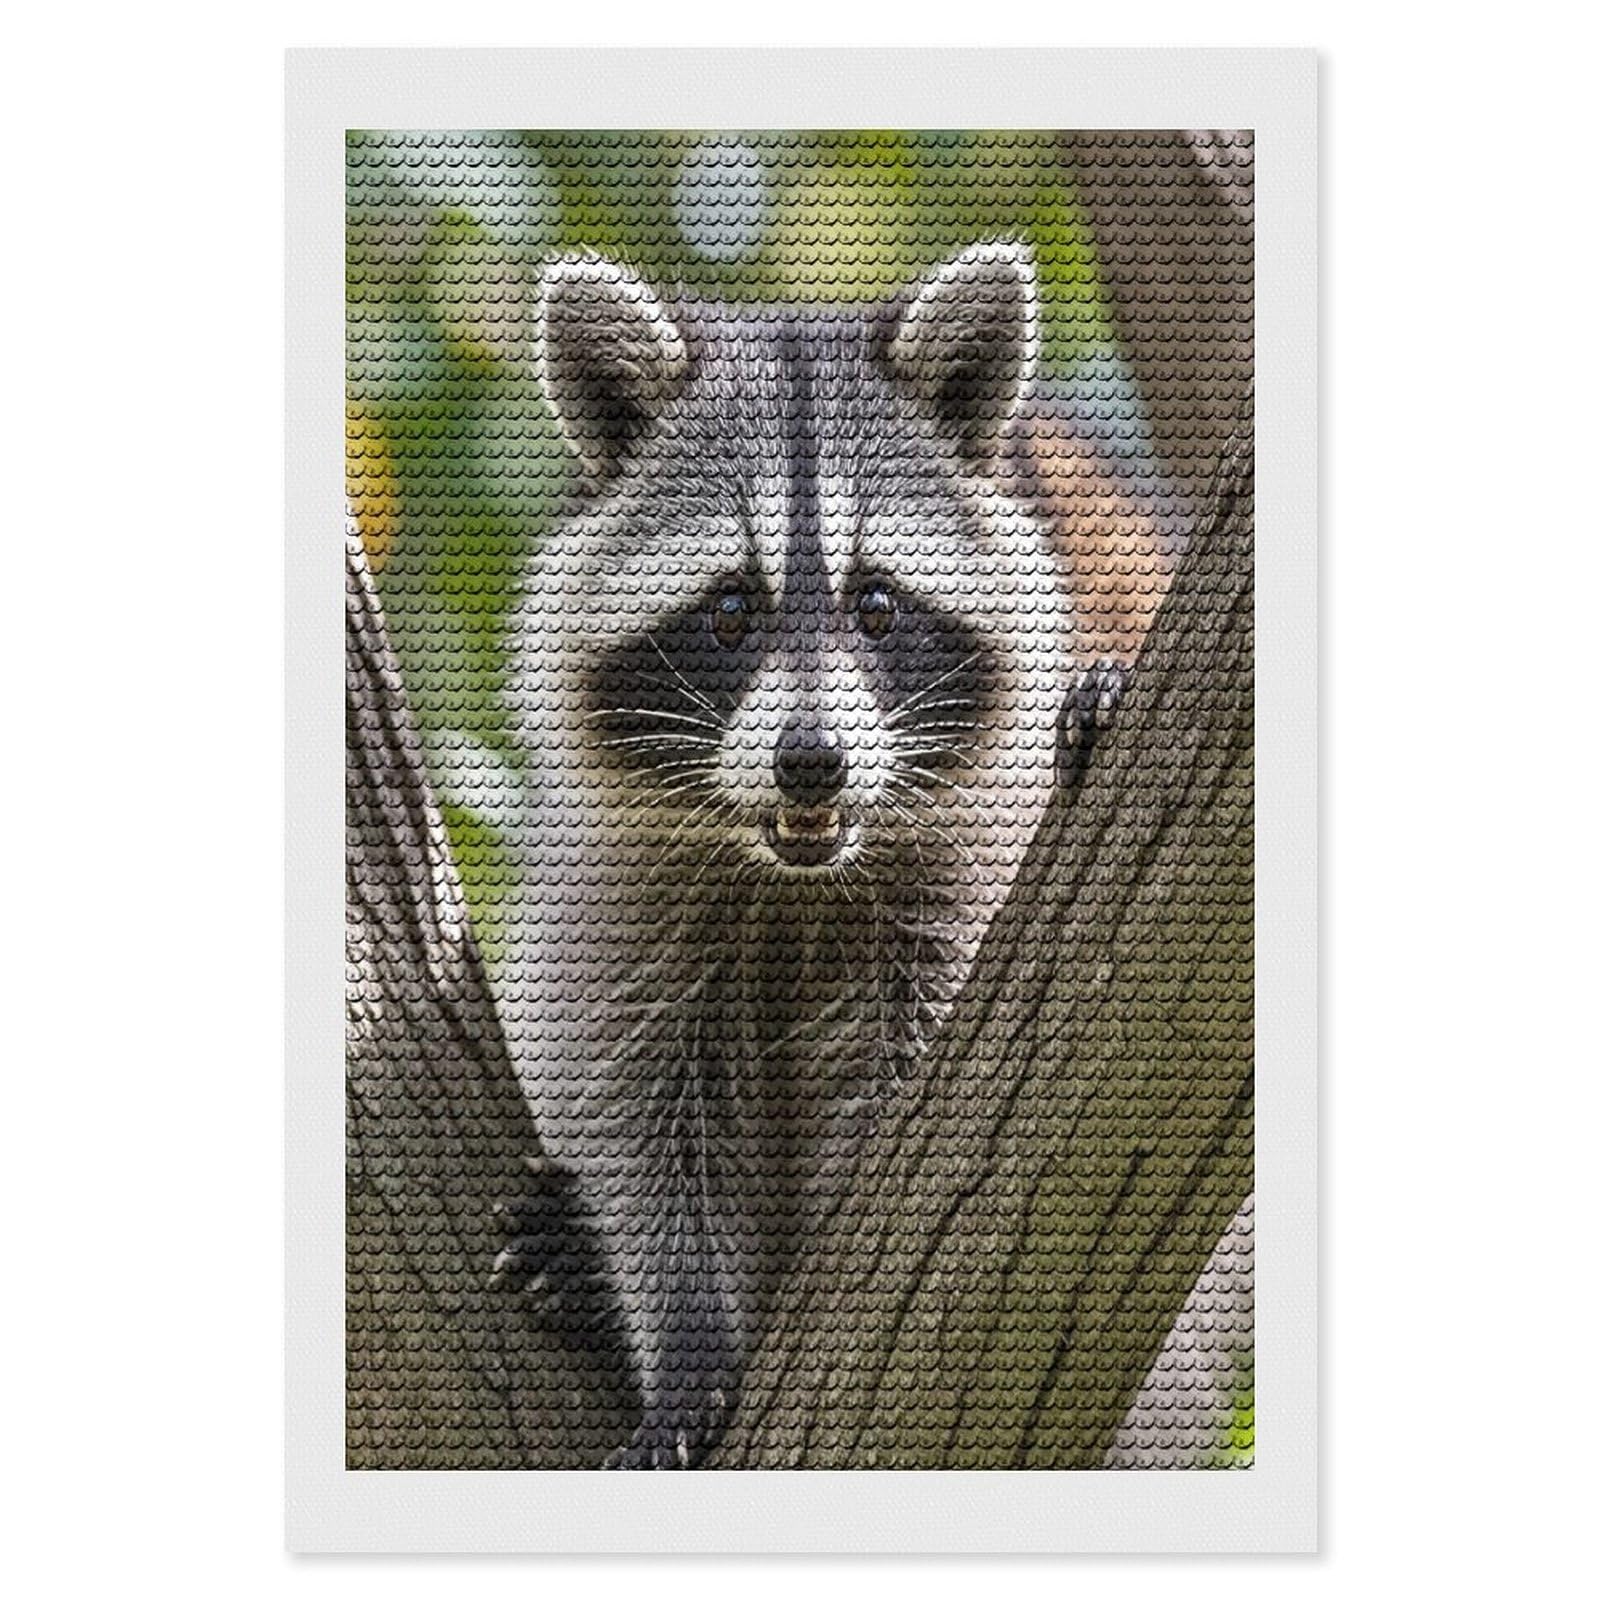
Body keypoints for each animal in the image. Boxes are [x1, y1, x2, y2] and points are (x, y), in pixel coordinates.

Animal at [502, 241, 1079, 1467]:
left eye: (877, 605)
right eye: (729, 611)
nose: (812, 763)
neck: (795, 879)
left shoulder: (964, 880)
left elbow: (909, 1072)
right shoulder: (625, 904)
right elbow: (639, 1116)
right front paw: (681, 1339)